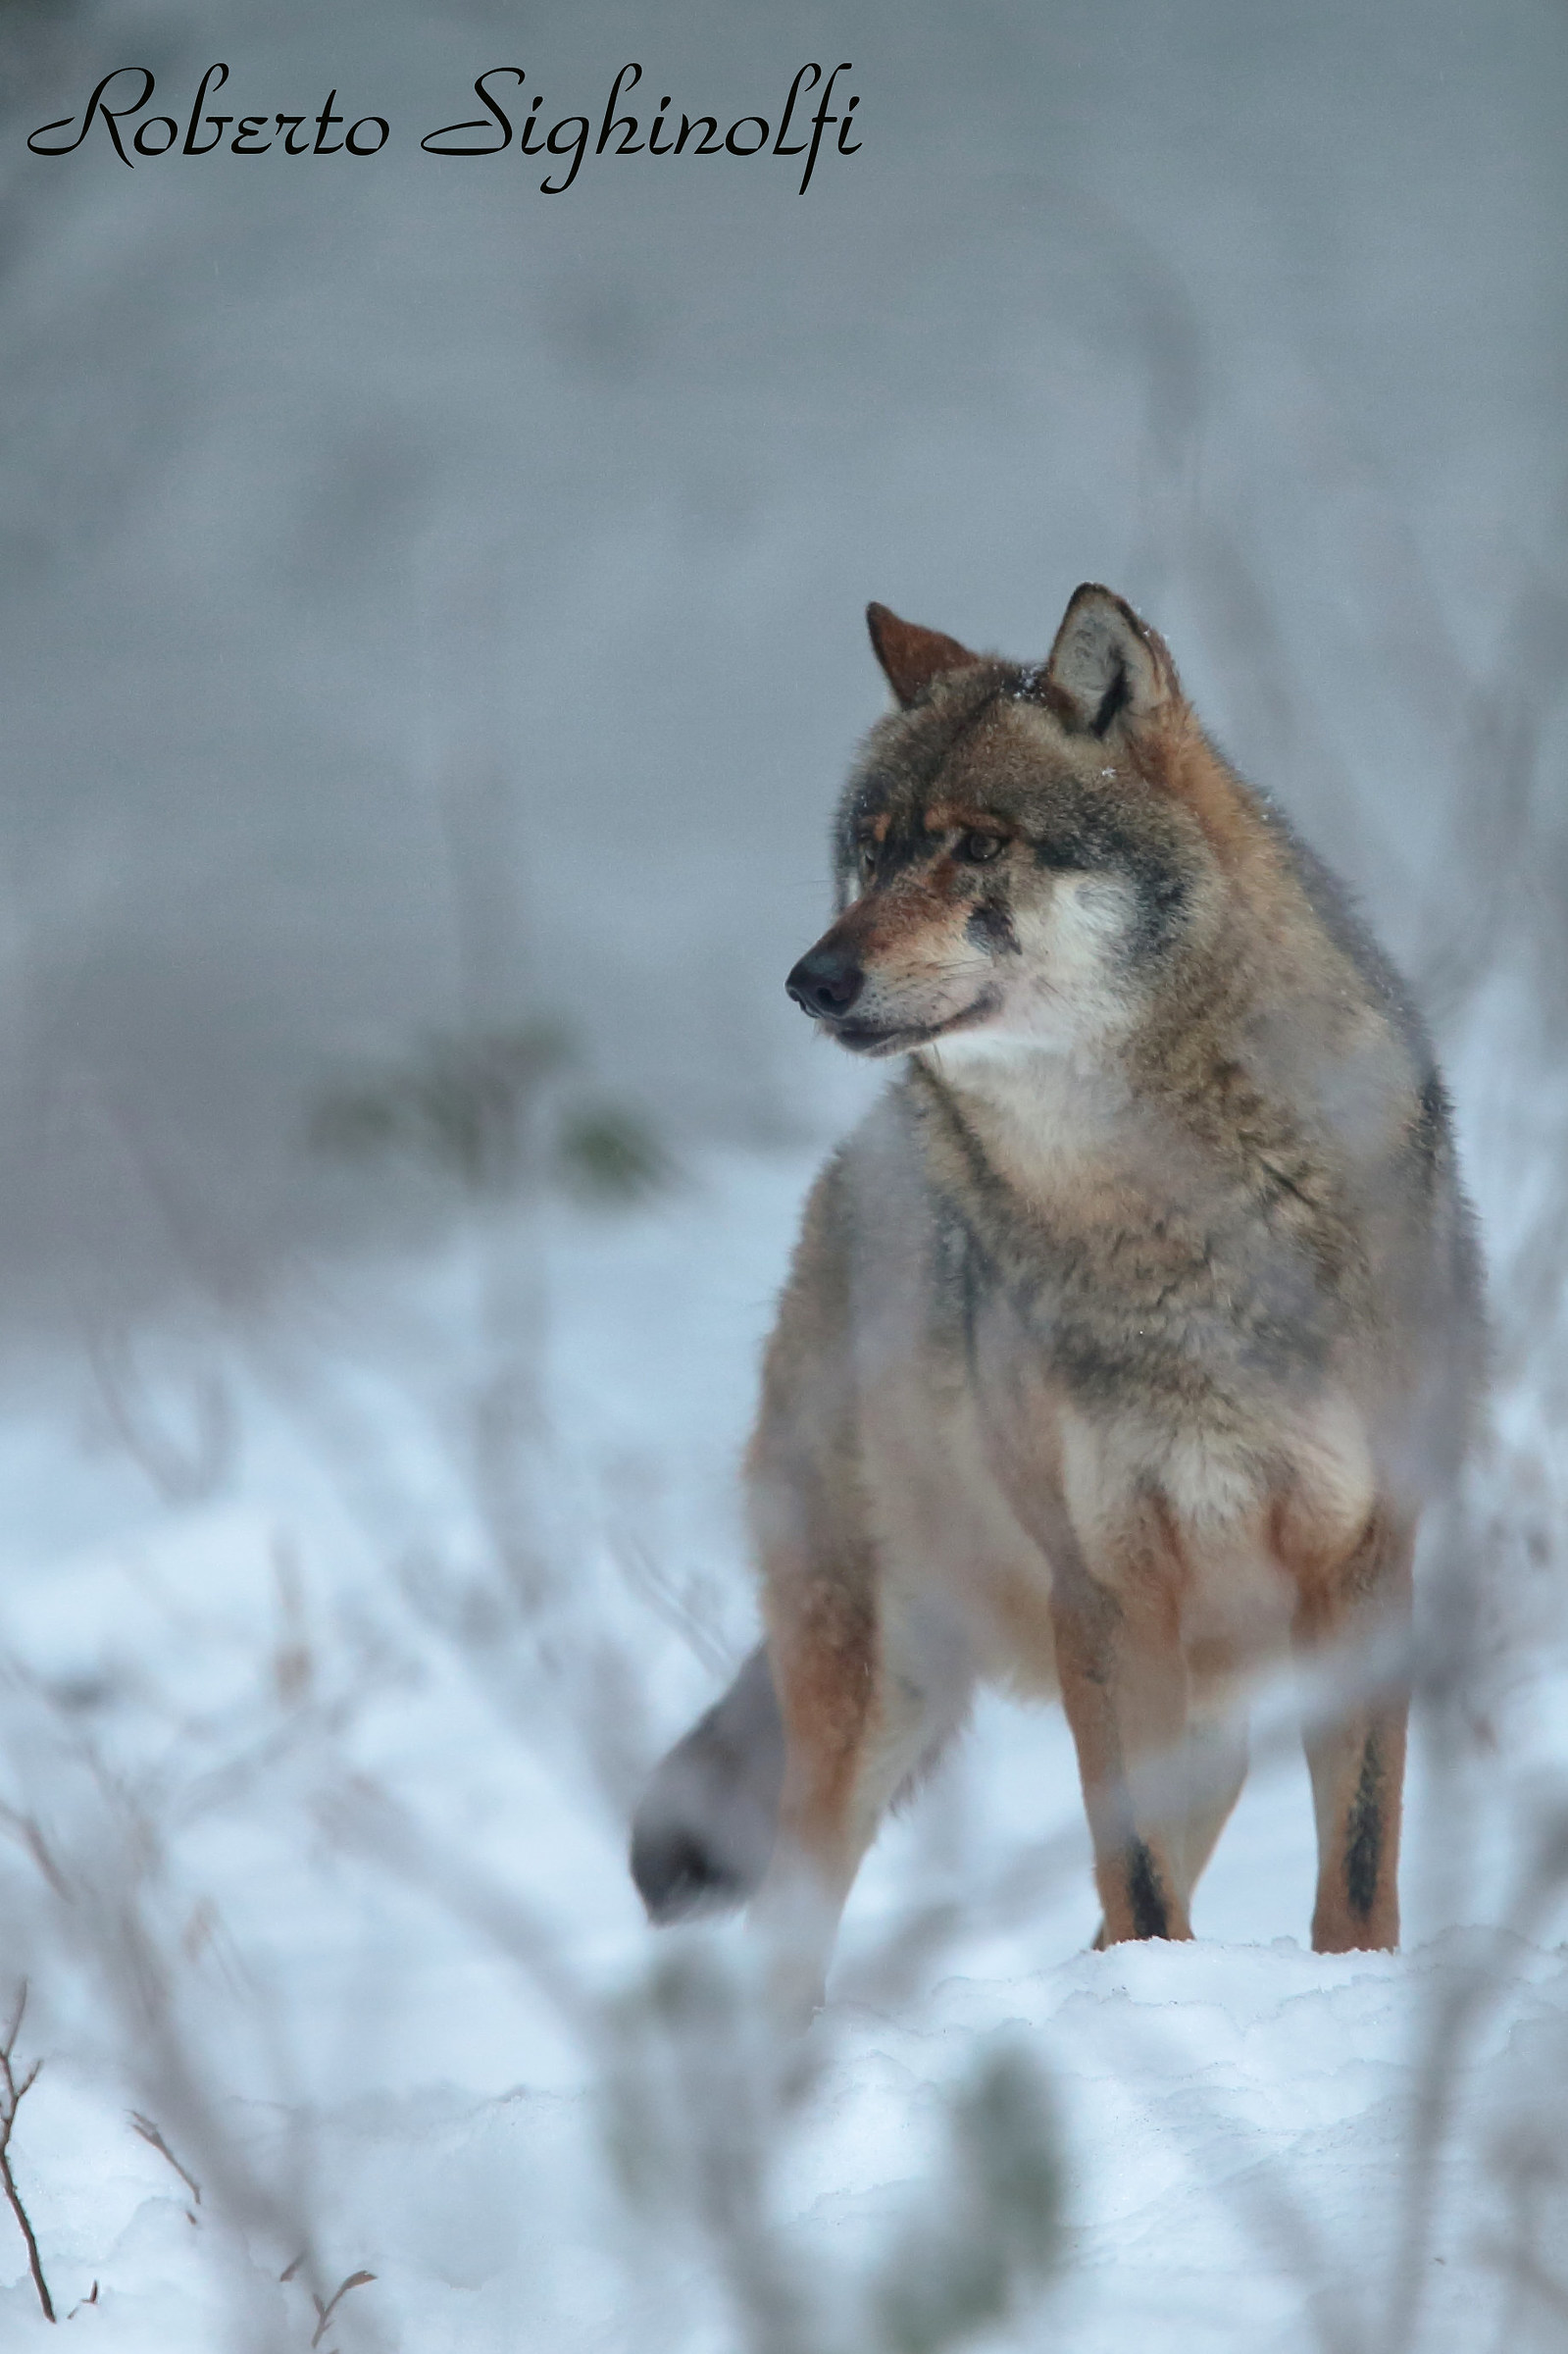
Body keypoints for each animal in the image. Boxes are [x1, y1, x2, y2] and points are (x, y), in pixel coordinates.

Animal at [631, 585, 1482, 2001]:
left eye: (978, 847)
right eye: (869, 855)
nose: (811, 980)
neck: (1159, 1232)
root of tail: (850, 1171)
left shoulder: (1365, 1566)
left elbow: (1356, 1872)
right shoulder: (1101, 1588)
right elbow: (1134, 1878)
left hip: (1201, 1709)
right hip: (879, 1693)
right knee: (795, 1926)